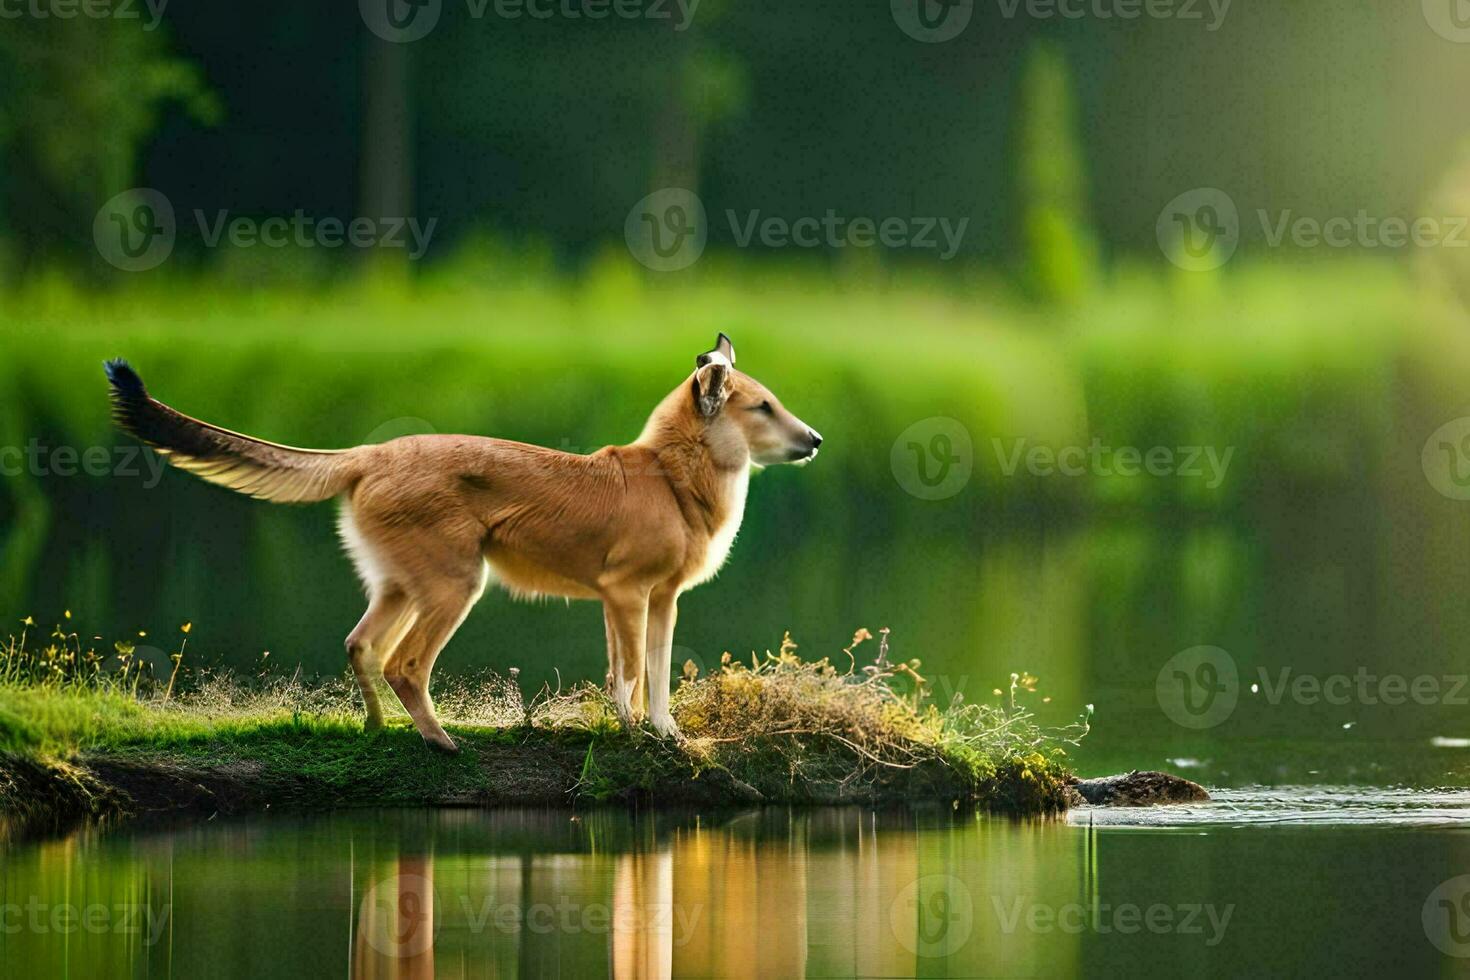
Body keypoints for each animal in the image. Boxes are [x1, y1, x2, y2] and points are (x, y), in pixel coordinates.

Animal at [106, 337, 817, 752]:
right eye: (761, 407)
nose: (814, 440)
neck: (672, 477)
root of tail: (368, 453)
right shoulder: (625, 594)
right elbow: (630, 673)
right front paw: (633, 732)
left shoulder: (659, 600)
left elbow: (656, 671)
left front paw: (663, 732)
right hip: (455, 586)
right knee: (403, 664)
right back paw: (442, 742)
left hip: (398, 586)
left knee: (361, 645)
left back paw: (378, 732)